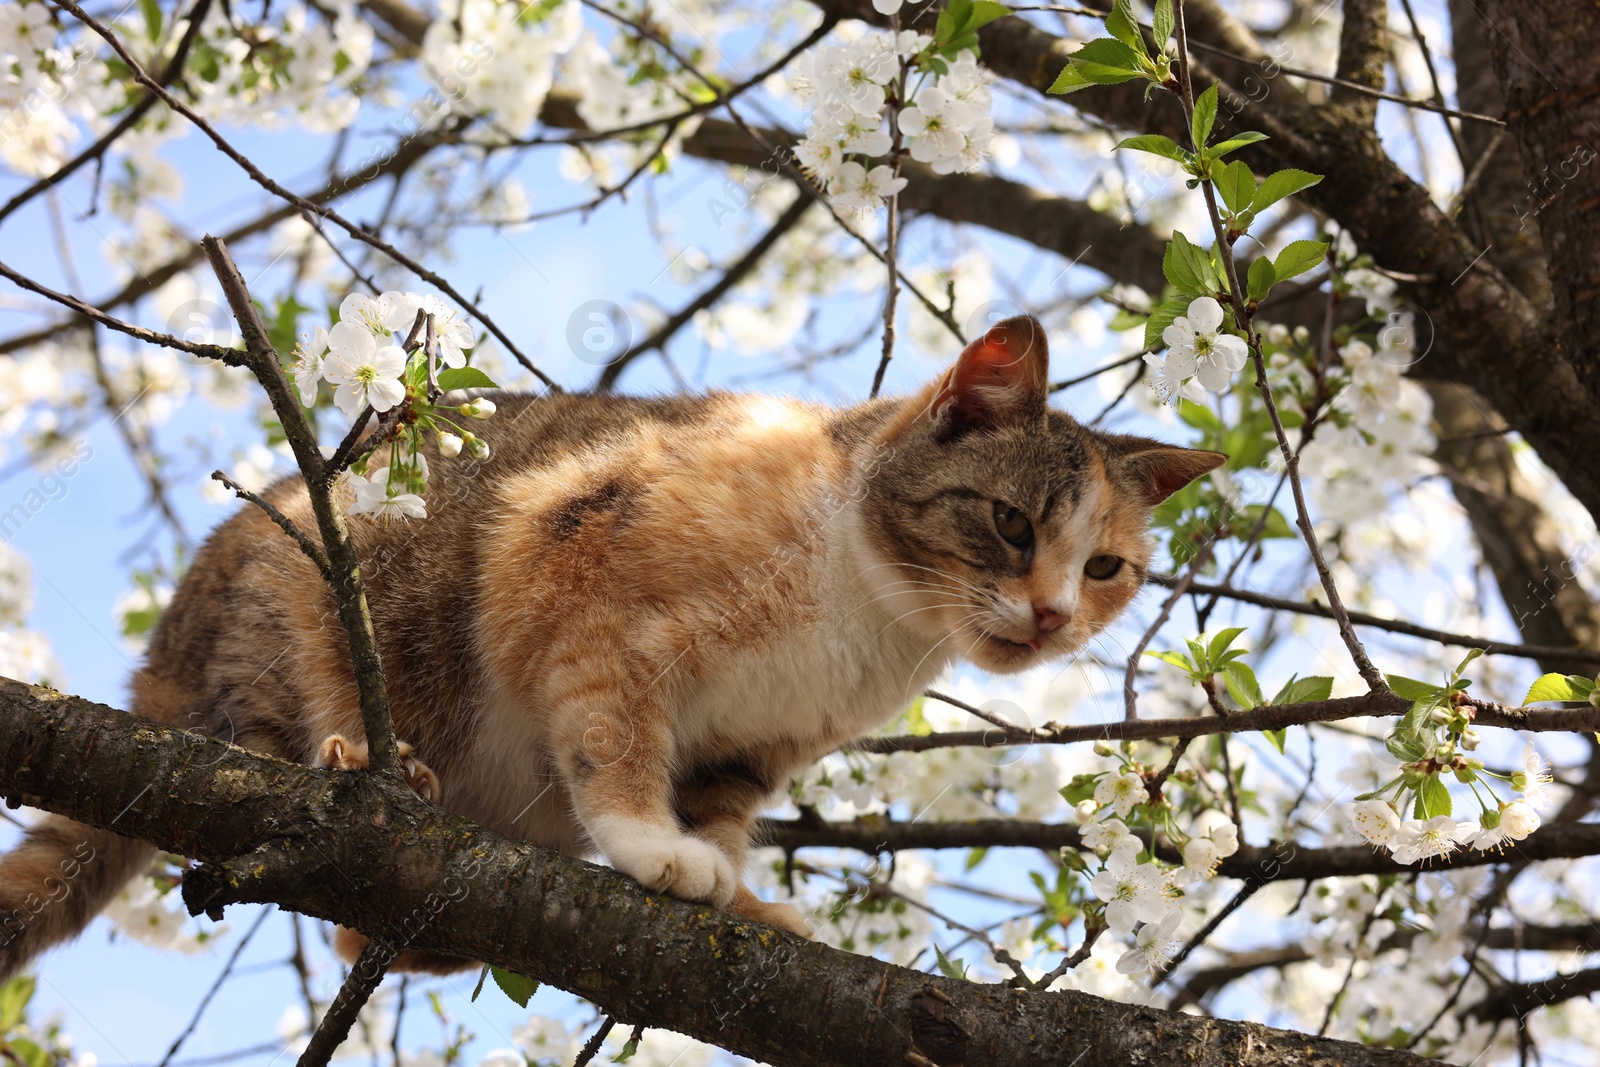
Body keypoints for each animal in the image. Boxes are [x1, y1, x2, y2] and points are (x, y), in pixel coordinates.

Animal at [0, 310, 1222, 979]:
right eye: (1011, 523)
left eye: (1105, 569)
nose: (1055, 614)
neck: (869, 620)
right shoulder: (584, 573)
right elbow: (612, 731)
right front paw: (648, 842)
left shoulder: (751, 749)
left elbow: (721, 818)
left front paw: (736, 895)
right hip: (343, 561)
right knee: (300, 715)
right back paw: (359, 756)